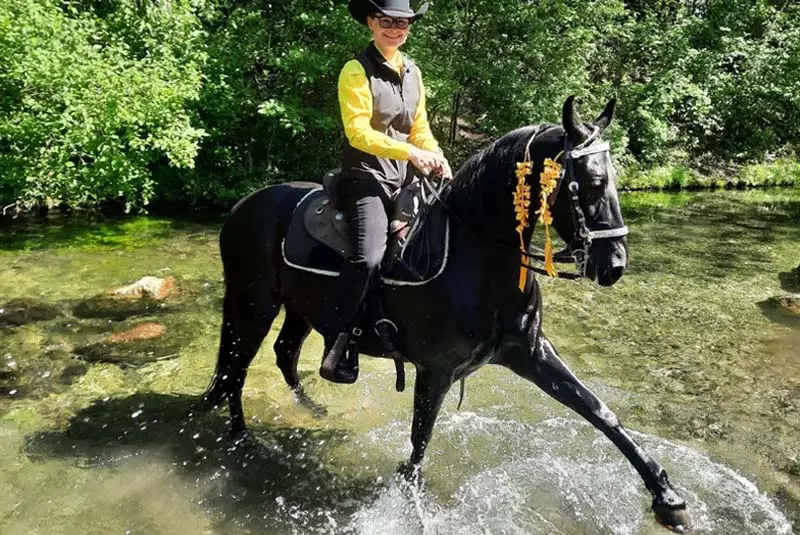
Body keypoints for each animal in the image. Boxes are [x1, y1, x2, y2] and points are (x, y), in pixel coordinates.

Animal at [198, 96, 691, 532]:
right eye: (589, 182)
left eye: (613, 178)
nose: (615, 265)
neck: (477, 258)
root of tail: (242, 206)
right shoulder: (434, 371)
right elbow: (419, 446)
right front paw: (411, 511)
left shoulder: (532, 353)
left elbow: (599, 411)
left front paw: (667, 498)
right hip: (253, 307)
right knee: (237, 369)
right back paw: (241, 438)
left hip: (299, 309)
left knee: (282, 353)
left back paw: (313, 410)